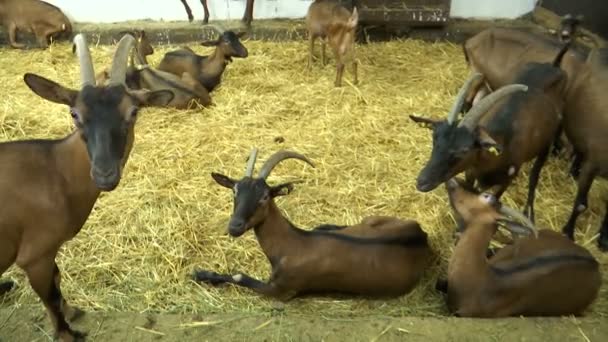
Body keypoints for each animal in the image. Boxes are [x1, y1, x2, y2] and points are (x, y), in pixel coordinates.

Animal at [0, 32, 173, 342]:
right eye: (74, 114)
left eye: (133, 112)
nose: (105, 174)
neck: (55, 170)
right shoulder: (34, 255)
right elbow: (50, 295)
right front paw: (67, 333)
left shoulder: (48, 251)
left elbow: (57, 281)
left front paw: (72, 312)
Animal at [195, 148, 432, 298]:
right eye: (235, 191)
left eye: (264, 196)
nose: (234, 226)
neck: (292, 243)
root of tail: (422, 235)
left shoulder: (281, 290)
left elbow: (239, 276)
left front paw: (200, 274)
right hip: (371, 220)